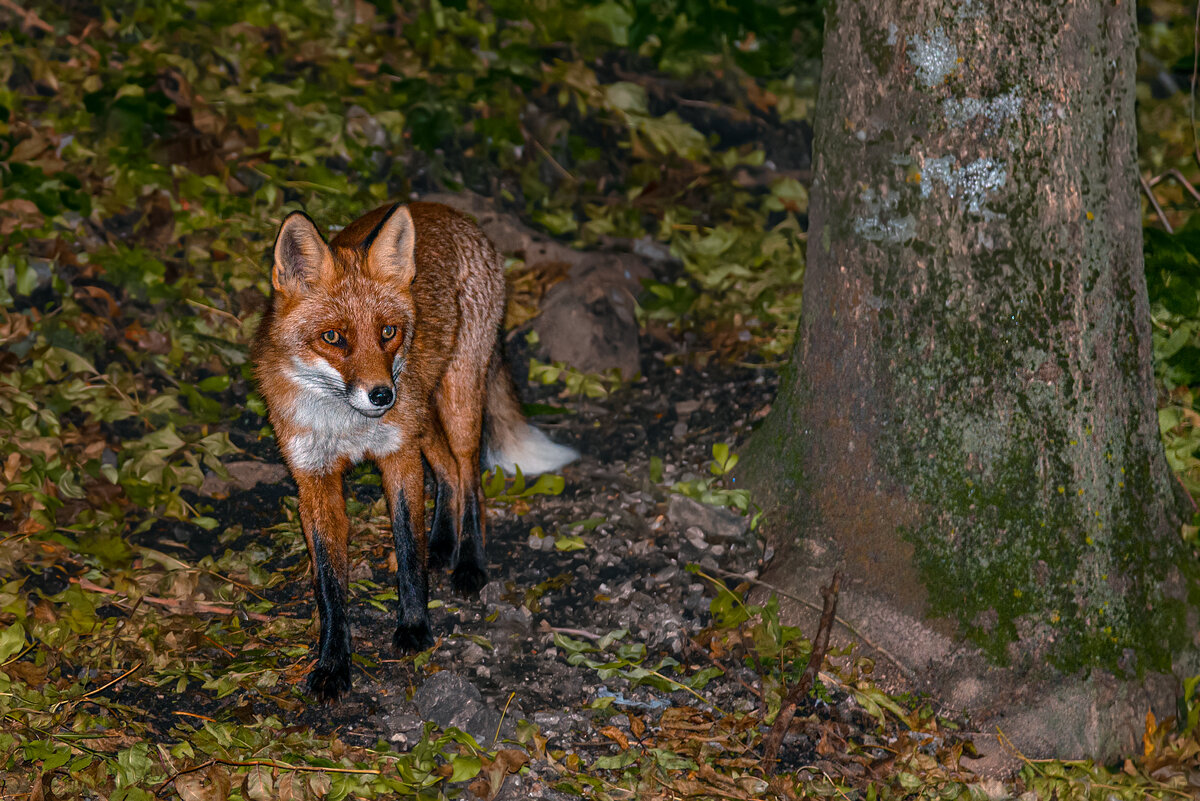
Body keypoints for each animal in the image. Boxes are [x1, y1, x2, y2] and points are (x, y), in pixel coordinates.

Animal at [256, 201, 580, 700]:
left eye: (388, 332)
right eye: (333, 338)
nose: (381, 396)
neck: (344, 424)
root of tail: (448, 211)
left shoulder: (398, 456)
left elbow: (408, 553)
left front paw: (414, 628)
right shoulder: (314, 478)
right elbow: (328, 584)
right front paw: (332, 665)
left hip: (455, 400)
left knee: (470, 476)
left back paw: (468, 563)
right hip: (422, 415)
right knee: (447, 472)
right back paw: (443, 541)